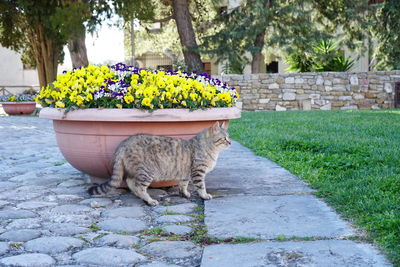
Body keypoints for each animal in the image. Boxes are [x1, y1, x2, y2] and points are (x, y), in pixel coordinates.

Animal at [87, 122, 231, 207]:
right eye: (224, 139)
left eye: (229, 137)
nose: (230, 142)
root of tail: (123, 143)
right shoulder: (198, 172)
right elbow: (201, 186)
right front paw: (204, 195)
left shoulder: (185, 174)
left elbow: (183, 185)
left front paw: (184, 193)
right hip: (147, 172)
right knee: (139, 186)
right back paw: (149, 200)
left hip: (137, 171)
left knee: (130, 182)